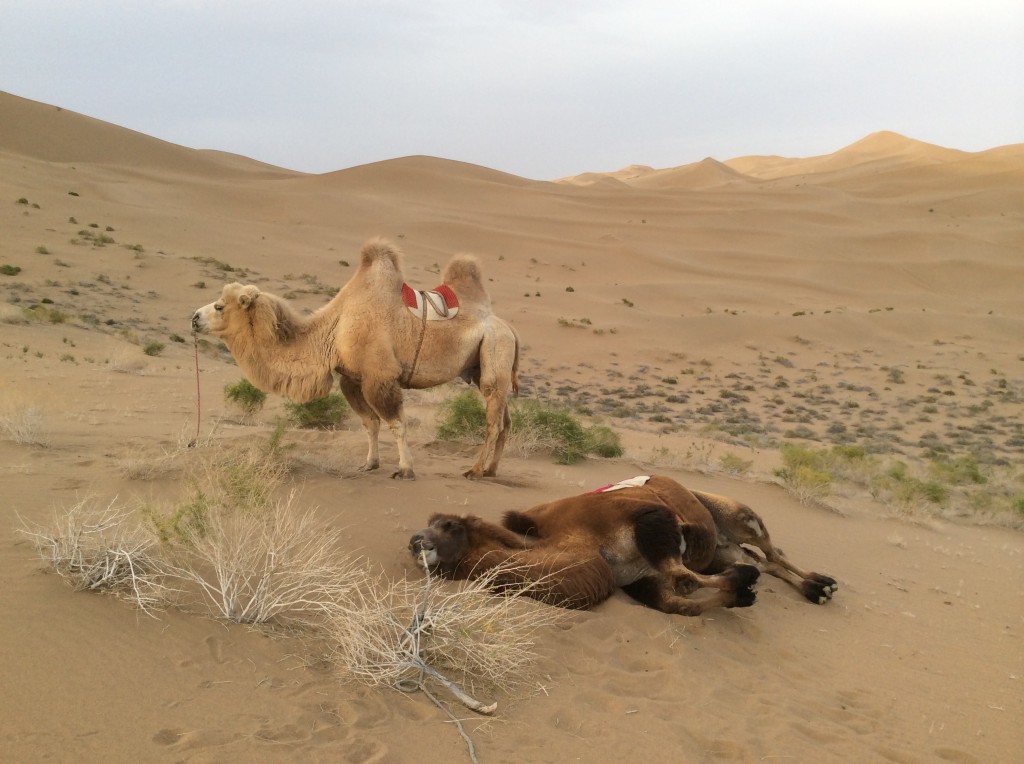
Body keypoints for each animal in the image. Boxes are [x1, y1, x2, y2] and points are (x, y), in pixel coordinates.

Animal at [192, 239, 520, 475]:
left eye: (220, 306)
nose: (194, 317)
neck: (334, 330)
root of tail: (512, 330)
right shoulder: (351, 378)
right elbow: (370, 423)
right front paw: (370, 464)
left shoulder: (380, 376)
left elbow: (396, 423)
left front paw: (405, 468)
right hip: (481, 365)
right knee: (505, 421)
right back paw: (491, 470)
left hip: (495, 350)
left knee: (492, 421)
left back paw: (474, 470)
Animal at [407, 473, 839, 614]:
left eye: (447, 525)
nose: (414, 540)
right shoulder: (640, 579)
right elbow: (678, 600)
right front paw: (740, 592)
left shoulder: (650, 520)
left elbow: (680, 573)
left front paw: (743, 584)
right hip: (721, 547)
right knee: (765, 561)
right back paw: (815, 588)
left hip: (738, 515)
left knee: (769, 549)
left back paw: (822, 584)